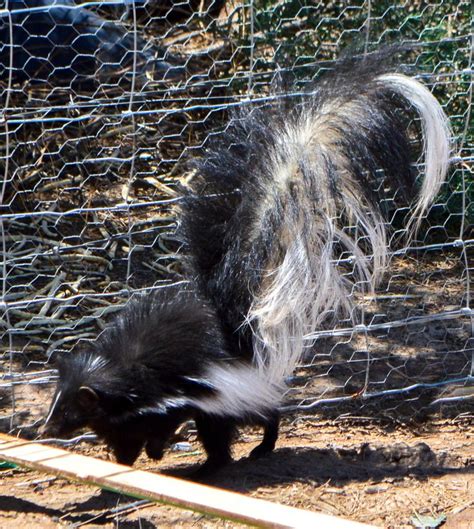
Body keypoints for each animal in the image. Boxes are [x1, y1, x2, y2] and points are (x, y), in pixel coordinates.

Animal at [43, 49, 452, 476]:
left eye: (68, 411)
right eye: (55, 404)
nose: (43, 428)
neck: (120, 375)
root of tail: (239, 335)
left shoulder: (169, 400)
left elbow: (162, 427)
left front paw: (153, 455)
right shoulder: (124, 417)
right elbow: (124, 438)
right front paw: (127, 462)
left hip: (226, 395)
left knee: (247, 421)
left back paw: (237, 456)